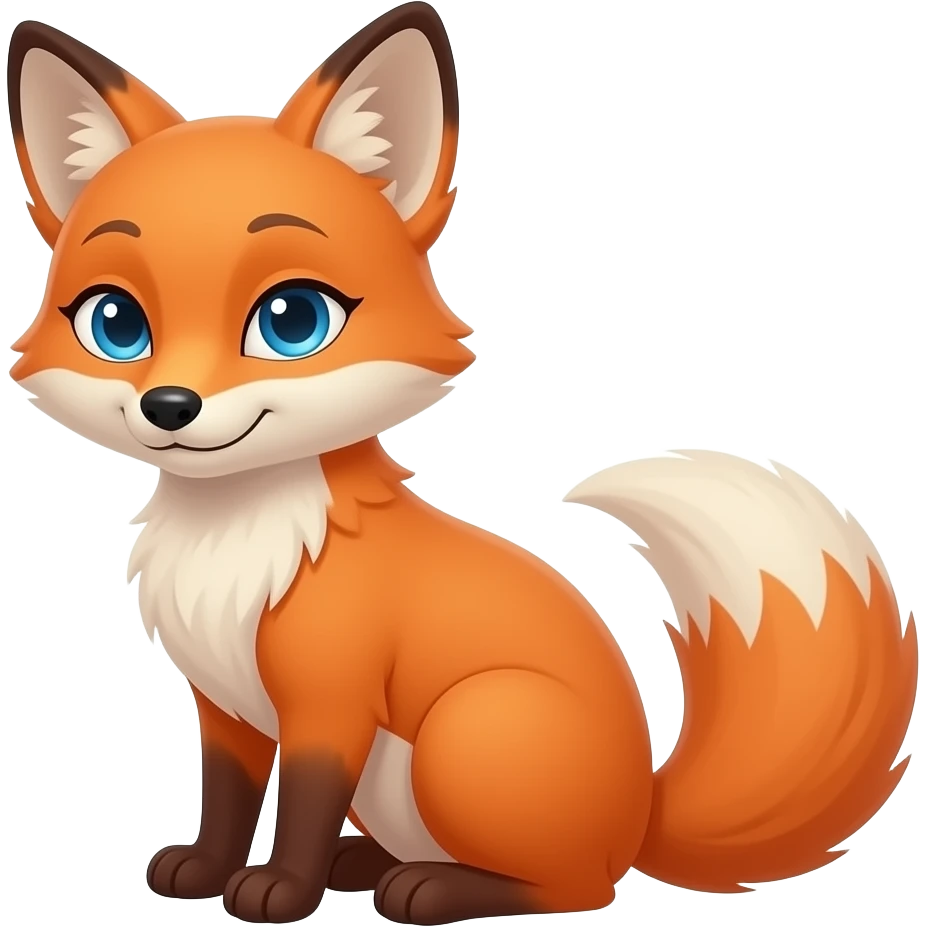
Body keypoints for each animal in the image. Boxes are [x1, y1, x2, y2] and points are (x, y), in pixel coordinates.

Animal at [4, 5, 919, 925]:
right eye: (116, 323)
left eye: (292, 320)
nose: (171, 406)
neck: (239, 540)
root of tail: (640, 814)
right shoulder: (225, 705)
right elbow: (227, 797)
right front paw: (204, 866)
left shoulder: (330, 701)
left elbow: (303, 801)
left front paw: (280, 888)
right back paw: (368, 862)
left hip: (468, 729)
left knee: (571, 887)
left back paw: (429, 887)